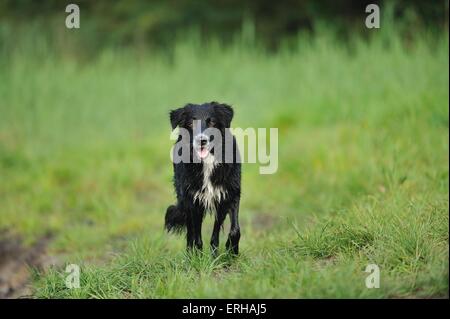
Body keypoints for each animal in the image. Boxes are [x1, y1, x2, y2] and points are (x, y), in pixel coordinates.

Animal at [165, 103, 243, 258]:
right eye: (191, 123)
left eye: (211, 122)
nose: (201, 140)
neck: (207, 161)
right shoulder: (193, 201)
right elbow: (196, 237)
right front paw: (198, 258)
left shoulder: (230, 195)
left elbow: (234, 230)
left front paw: (231, 252)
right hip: (186, 200)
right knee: (191, 232)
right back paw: (191, 255)